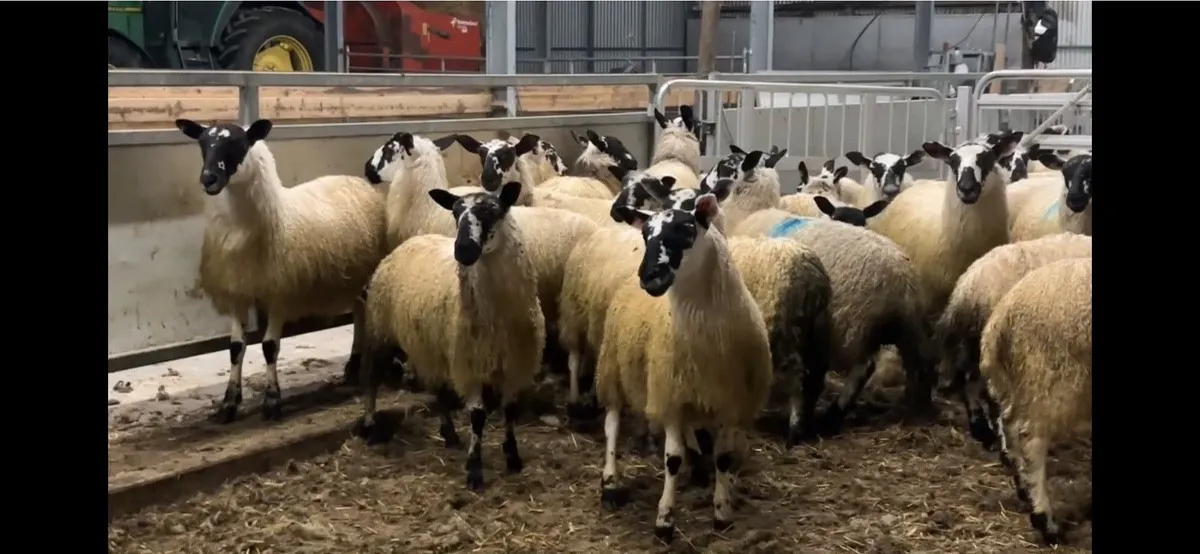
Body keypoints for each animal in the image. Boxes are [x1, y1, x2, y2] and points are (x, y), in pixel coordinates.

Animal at [175, 118, 388, 423]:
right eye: (202, 143)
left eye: (239, 144)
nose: (209, 179)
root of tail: (354, 180)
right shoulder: (236, 292)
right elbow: (235, 348)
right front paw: (229, 403)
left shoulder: (279, 293)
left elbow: (269, 347)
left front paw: (272, 400)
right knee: (359, 311)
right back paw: (352, 366)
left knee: (364, 313)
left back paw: (360, 364)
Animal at [354, 182, 544, 492]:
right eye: (455, 214)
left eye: (492, 210)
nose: (463, 250)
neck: (498, 315)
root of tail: (409, 243)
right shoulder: (470, 363)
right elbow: (478, 416)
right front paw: (474, 471)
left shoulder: (514, 363)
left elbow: (510, 408)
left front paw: (513, 458)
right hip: (380, 332)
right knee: (371, 377)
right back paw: (370, 427)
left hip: (433, 345)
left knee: (439, 390)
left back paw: (450, 433)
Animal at [594, 193, 773, 541]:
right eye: (645, 233)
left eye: (687, 228)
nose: (650, 276)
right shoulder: (669, 396)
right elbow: (672, 459)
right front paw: (665, 519)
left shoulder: (728, 401)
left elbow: (724, 457)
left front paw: (722, 511)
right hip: (613, 368)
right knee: (611, 424)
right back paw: (610, 482)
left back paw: (699, 467)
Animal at [981, 257, 1091, 545]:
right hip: (1054, 380)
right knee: (1031, 441)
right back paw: (1045, 521)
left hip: (1026, 383)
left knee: (1009, 424)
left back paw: (1023, 489)